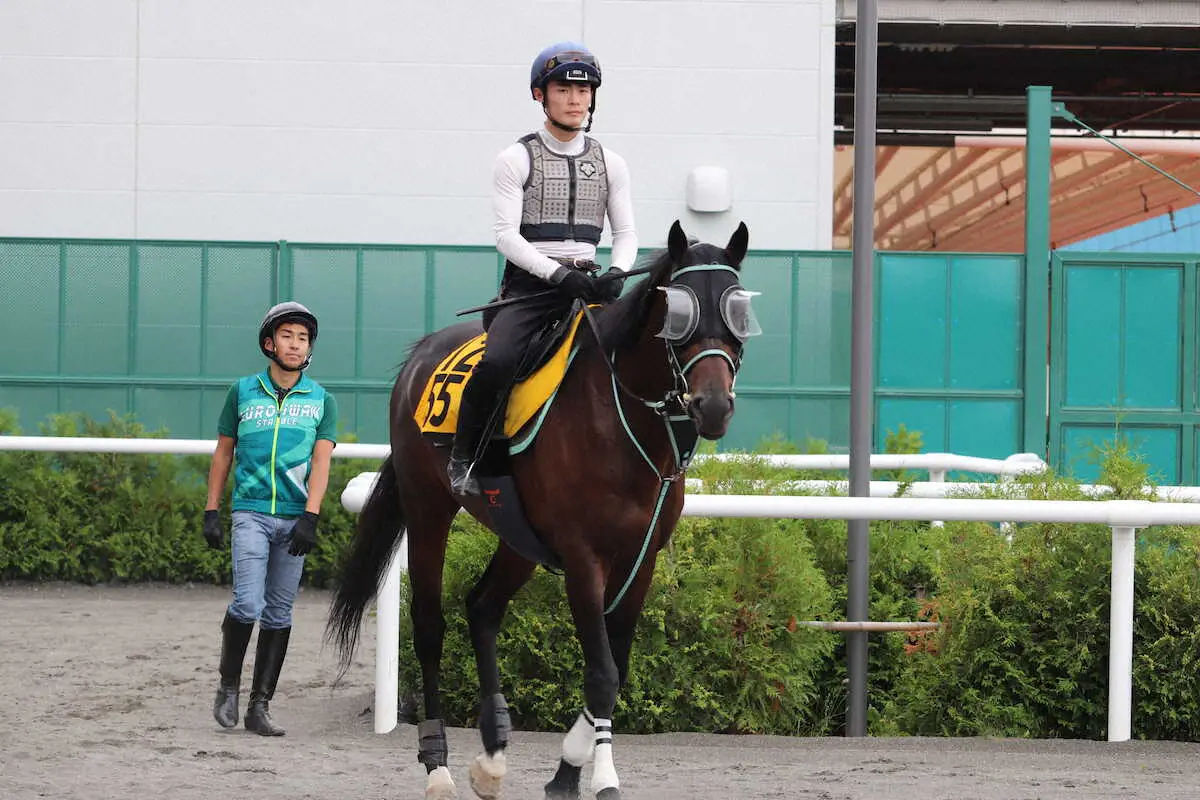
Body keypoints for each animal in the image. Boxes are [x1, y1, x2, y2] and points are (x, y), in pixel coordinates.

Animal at [328, 220, 758, 800]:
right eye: (679, 313)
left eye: (738, 311)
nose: (712, 406)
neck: (619, 421)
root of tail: (420, 355)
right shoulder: (583, 558)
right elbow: (602, 672)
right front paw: (598, 775)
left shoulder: (640, 559)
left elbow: (617, 666)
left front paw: (569, 770)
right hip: (428, 508)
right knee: (429, 626)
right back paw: (438, 765)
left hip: (519, 535)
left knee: (483, 606)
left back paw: (492, 753)